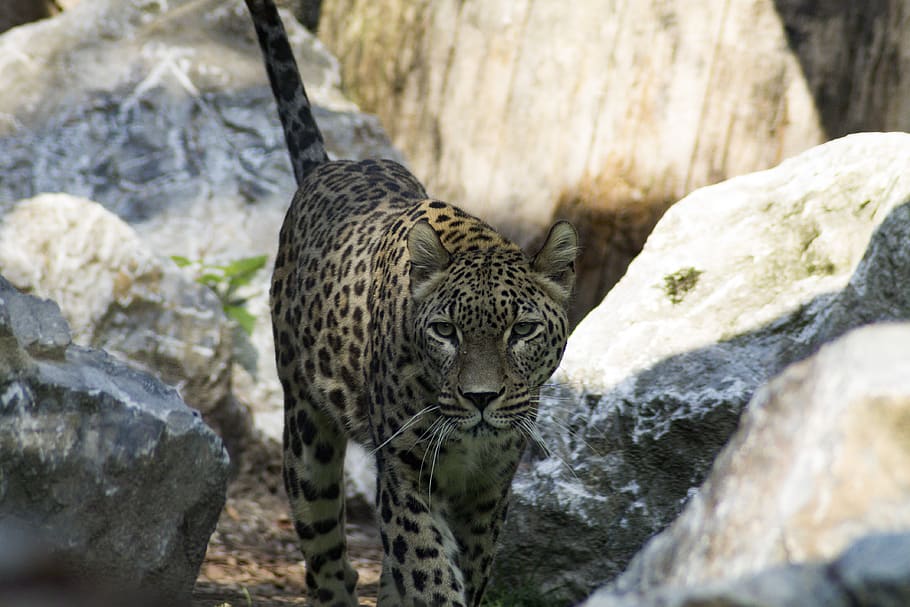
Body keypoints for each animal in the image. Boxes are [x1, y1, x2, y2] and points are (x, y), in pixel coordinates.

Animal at [244, 2, 579, 605]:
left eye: (522, 331)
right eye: (445, 331)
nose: (480, 399)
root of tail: (329, 166)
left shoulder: (490, 491)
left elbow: (462, 570)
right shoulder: (403, 472)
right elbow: (428, 568)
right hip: (305, 429)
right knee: (325, 554)